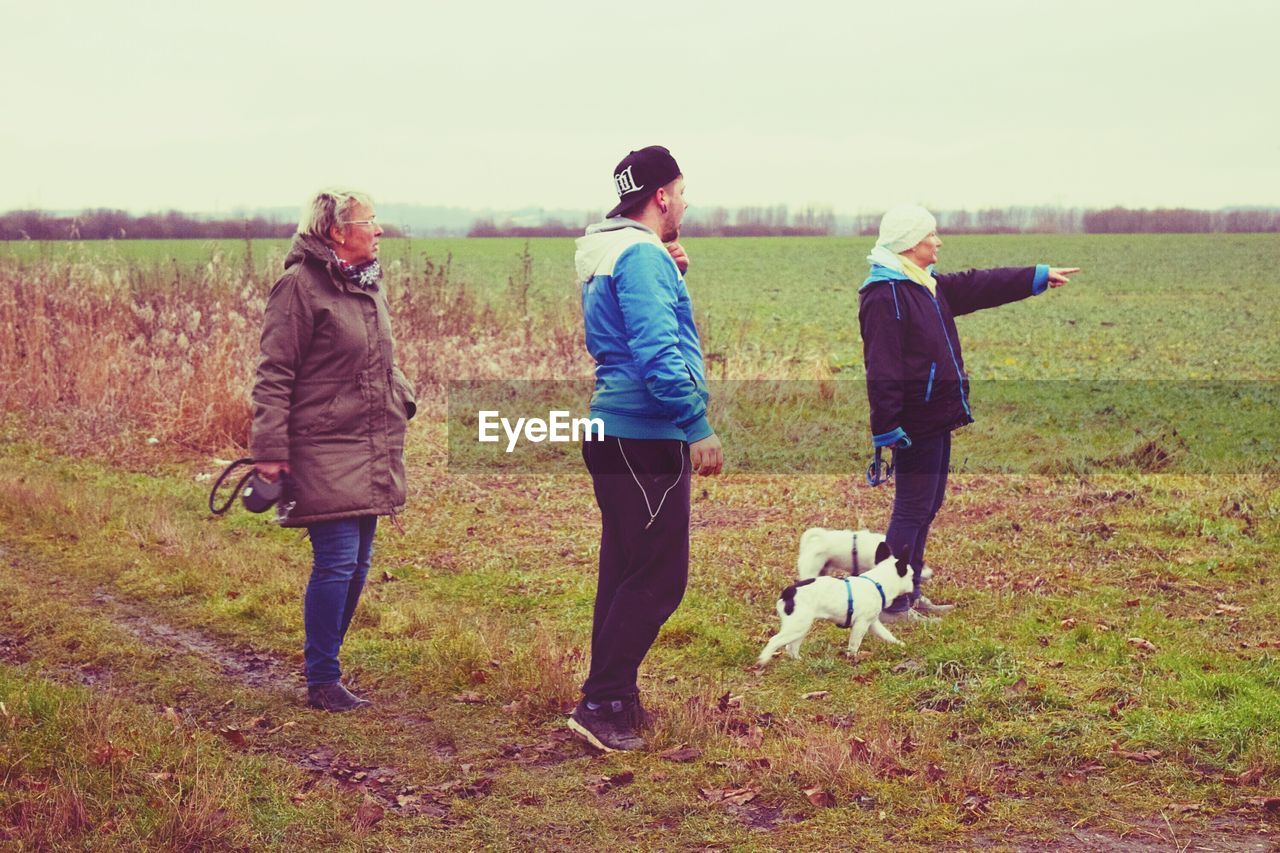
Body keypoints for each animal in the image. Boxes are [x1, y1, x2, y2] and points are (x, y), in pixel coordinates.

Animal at [757, 537, 931, 666]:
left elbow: (886, 634)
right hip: (797, 625)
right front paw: (853, 659)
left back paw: (799, 661)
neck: (878, 582)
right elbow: (854, 644)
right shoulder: (861, 624)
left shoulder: (872, 623)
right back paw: (763, 660)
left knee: (791, 647)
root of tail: (788, 593)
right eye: (912, 575)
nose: (915, 584)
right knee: (775, 640)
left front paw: (898, 644)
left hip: (801, 627)